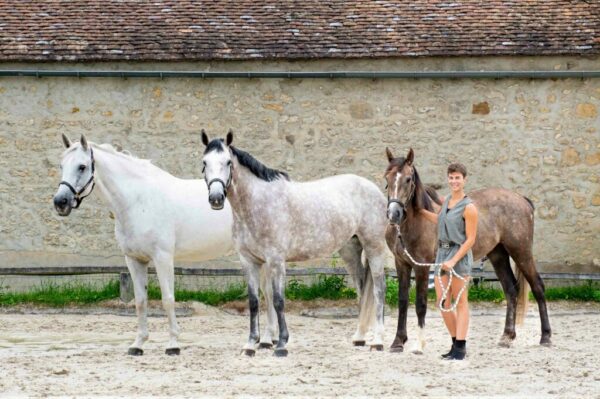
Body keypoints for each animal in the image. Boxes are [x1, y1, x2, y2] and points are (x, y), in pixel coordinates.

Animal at [53, 134, 234, 356]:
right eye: (61, 165)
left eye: (82, 166)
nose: (60, 202)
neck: (139, 201)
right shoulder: (134, 260)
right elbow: (140, 301)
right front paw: (138, 344)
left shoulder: (163, 258)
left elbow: (168, 299)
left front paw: (173, 344)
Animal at [202, 130, 390, 358]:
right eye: (204, 163)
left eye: (228, 162)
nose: (216, 198)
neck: (257, 203)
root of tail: (373, 189)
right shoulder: (249, 261)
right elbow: (254, 302)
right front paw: (250, 345)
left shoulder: (276, 260)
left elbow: (278, 300)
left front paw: (281, 344)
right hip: (351, 251)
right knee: (363, 290)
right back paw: (360, 337)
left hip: (374, 247)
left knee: (378, 289)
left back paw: (377, 341)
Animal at [384, 148, 552, 354]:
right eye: (387, 177)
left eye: (408, 179)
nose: (394, 214)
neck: (415, 222)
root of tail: (522, 200)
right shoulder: (401, 264)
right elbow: (402, 302)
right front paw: (398, 342)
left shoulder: (421, 266)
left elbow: (420, 304)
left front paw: (419, 345)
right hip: (498, 255)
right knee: (511, 289)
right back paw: (507, 336)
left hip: (521, 252)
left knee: (538, 287)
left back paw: (546, 337)